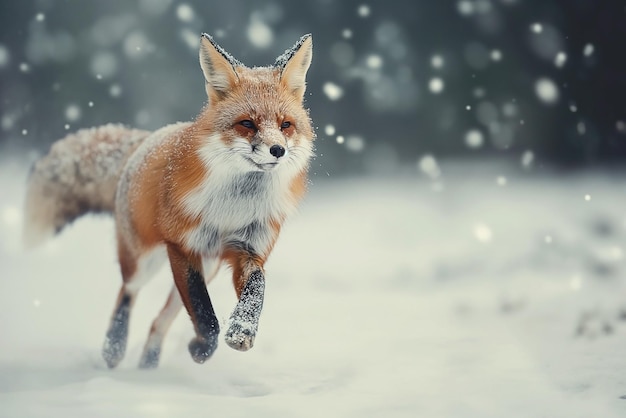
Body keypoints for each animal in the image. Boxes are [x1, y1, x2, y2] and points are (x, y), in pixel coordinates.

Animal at [23, 32, 314, 368]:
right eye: (247, 124)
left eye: (285, 125)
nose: (278, 150)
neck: (233, 208)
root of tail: (143, 141)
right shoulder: (182, 246)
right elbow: (204, 314)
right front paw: (205, 346)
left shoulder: (248, 250)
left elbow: (256, 290)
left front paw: (241, 330)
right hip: (144, 259)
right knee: (128, 291)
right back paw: (114, 348)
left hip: (208, 266)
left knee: (158, 320)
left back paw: (149, 364)